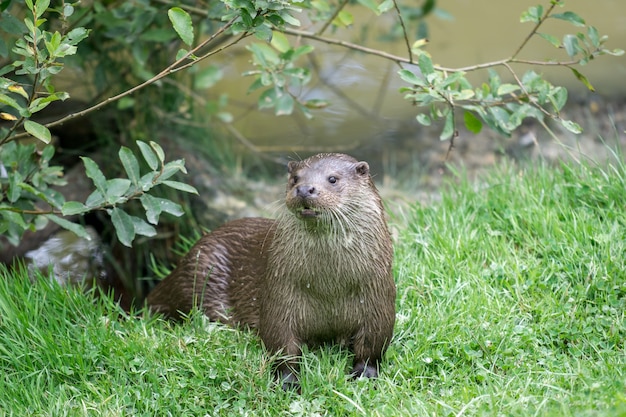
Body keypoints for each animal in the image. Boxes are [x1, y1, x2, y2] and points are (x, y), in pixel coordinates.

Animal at [145, 152, 394, 386]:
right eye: (295, 178)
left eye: (333, 179)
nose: (304, 189)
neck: (329, 287)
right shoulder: (280, 293)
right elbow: (281, 342)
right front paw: (288, 381)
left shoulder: (377, 295)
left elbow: (373, 342)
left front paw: (364, 374)